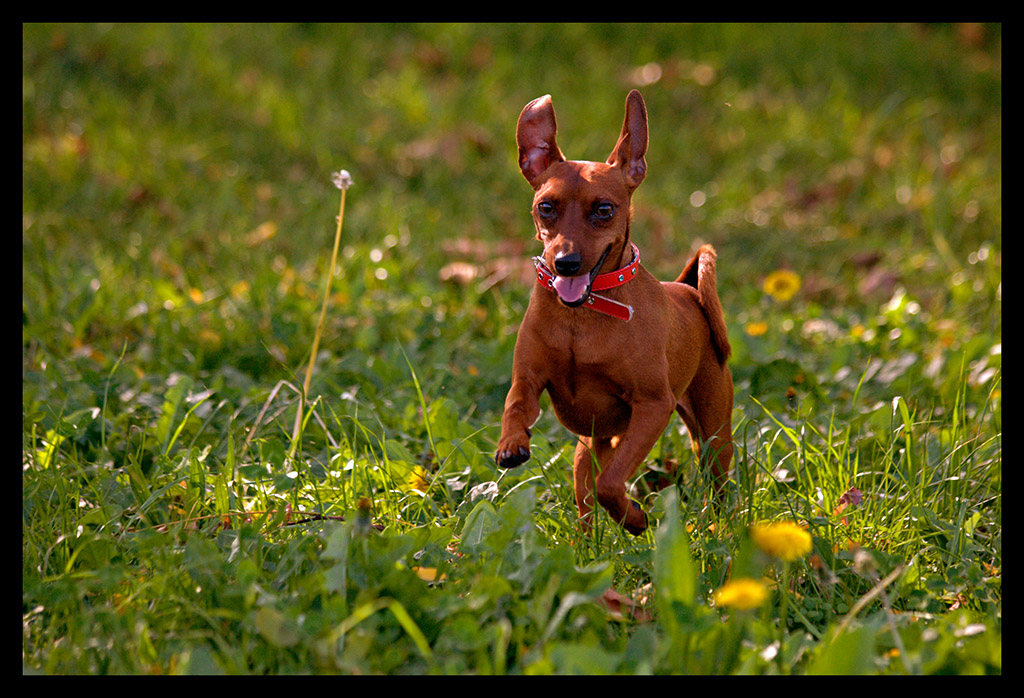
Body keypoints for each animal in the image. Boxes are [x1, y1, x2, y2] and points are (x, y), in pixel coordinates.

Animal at [495, 90, 733, 535]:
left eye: (603, 210)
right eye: (546, 207)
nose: (566, 263)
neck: (582, 317)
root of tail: (687, 289)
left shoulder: (652, 407)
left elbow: (611, 483)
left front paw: (635, 518)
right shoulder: (528, 379)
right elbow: (516, 405)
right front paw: (510, 443)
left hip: (711, 435)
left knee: (718, 484)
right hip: (589, 447)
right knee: (586, 496)